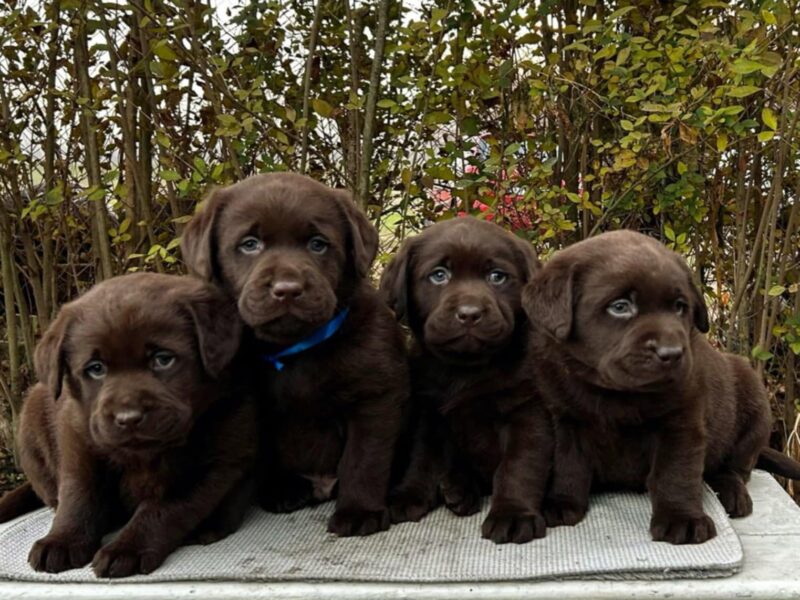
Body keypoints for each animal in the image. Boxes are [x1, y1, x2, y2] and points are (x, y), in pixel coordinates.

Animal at [0, 274, 255, 576]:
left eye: (163, 359)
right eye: (96, 368)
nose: (128, 417)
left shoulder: (208, 465)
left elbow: (163, 510)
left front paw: (126, 549)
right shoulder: (79, 442)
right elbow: (77, 497)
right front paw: (61, 541)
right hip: (32, 418)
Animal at [180, 171, 406, 536]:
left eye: (317, 244)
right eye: (249, 244)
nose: (287, 289)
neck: (295, 348)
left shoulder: (375, 395)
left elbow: (364, 458)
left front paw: (359, 511)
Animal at [380, 218, 552, 548]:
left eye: (497, 277)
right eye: (439, 275)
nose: (470, 314)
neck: (465, 369)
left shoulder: (526, 410)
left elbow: (518, 465)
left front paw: (513, 514)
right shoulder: (428, 412)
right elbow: (422, 457)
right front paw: (408, 494)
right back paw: (458, 489)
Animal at [520, 232, 772, 548]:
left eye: (680, 306)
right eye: (620, 306)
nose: (672, 353)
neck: (614, 392)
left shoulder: (681, 421)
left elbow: (675, 472)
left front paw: (682, 519)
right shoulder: (565, 418)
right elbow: (568, 464)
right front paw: (561, 503)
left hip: (754, 405)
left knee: (735, 468)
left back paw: (732, 493)